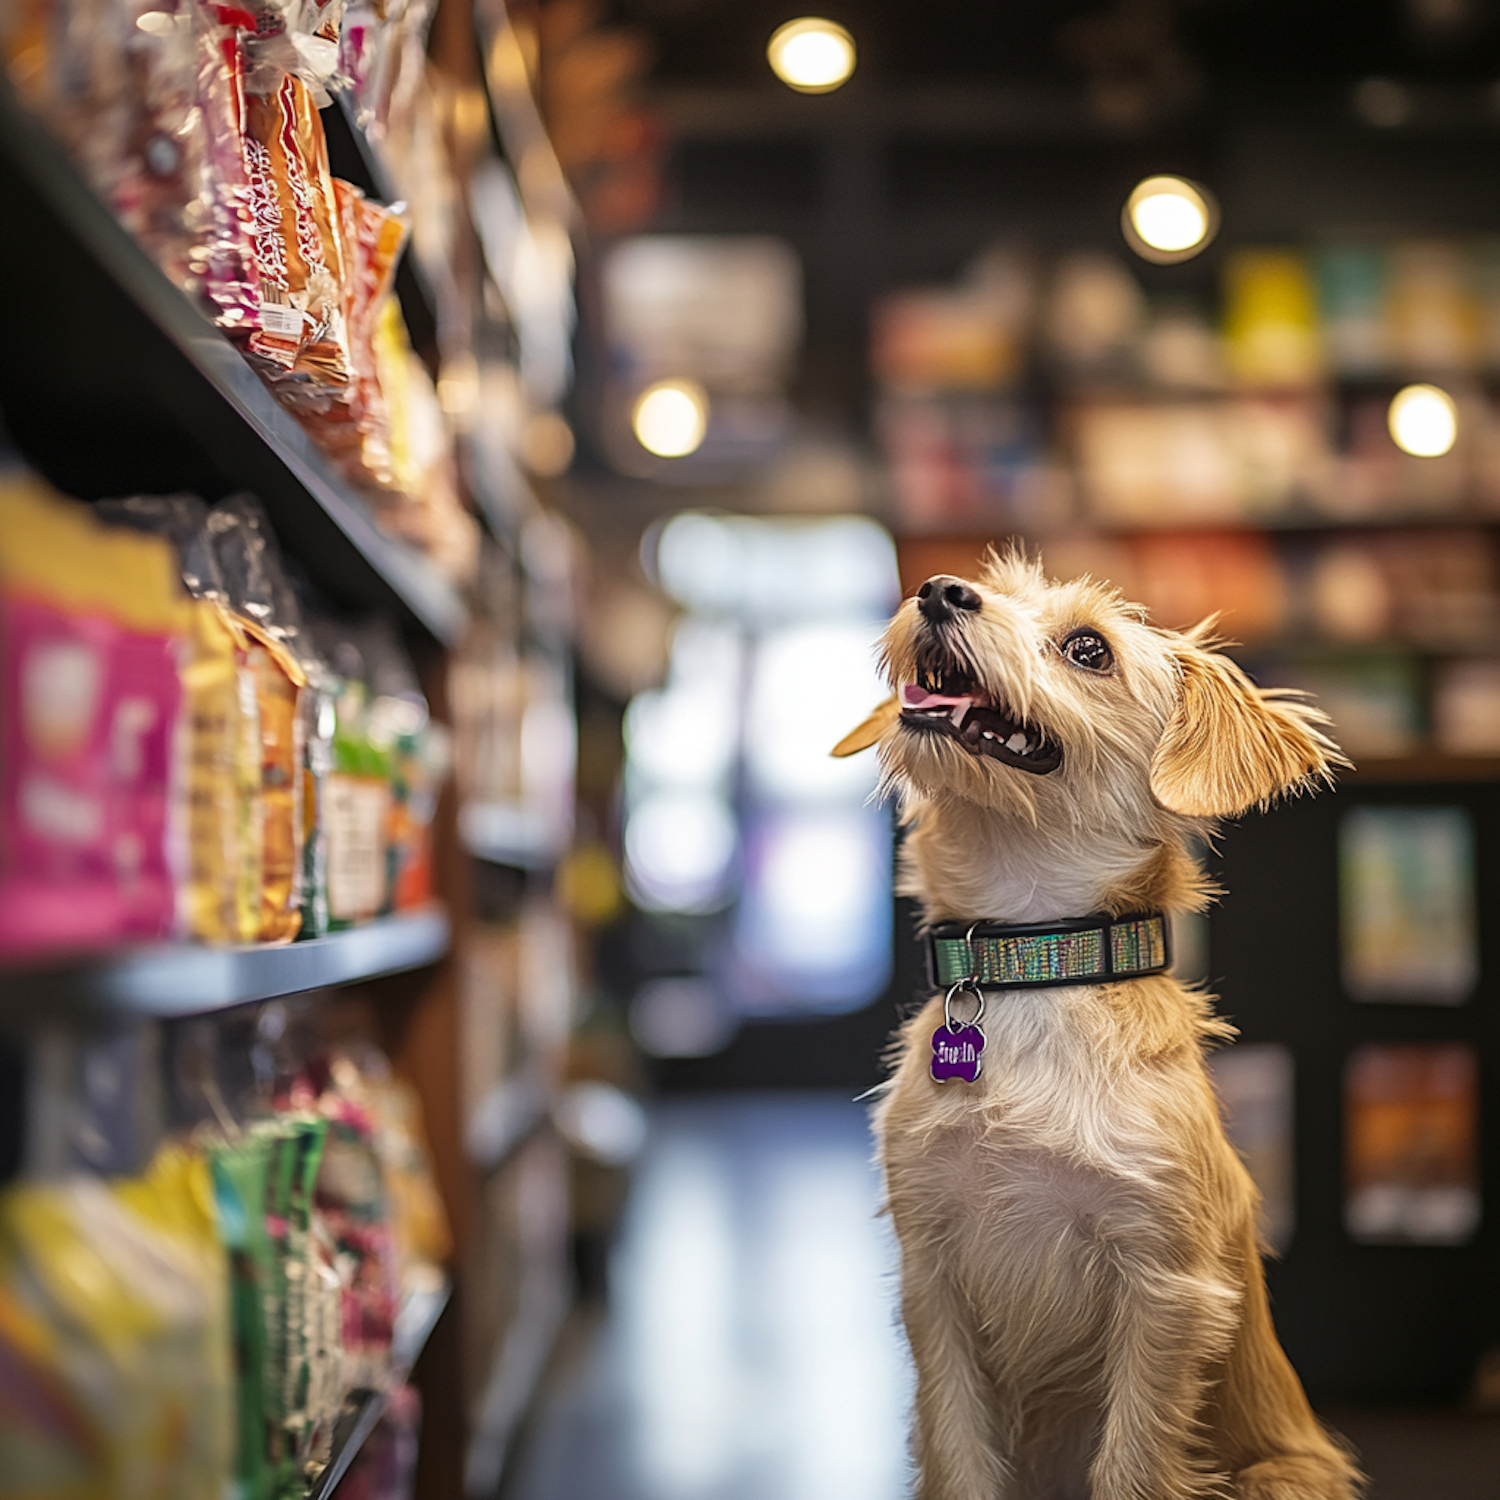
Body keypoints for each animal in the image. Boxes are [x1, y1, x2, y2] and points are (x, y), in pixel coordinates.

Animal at [840, 552, 1368, 1500]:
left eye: (1089, 648)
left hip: (1281, 1474)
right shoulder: (932, 1279)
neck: (1033, 963)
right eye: (981, 582)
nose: (938, 590)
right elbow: (959, 1450)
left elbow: (1133, 1461)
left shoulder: (1163, 1288)